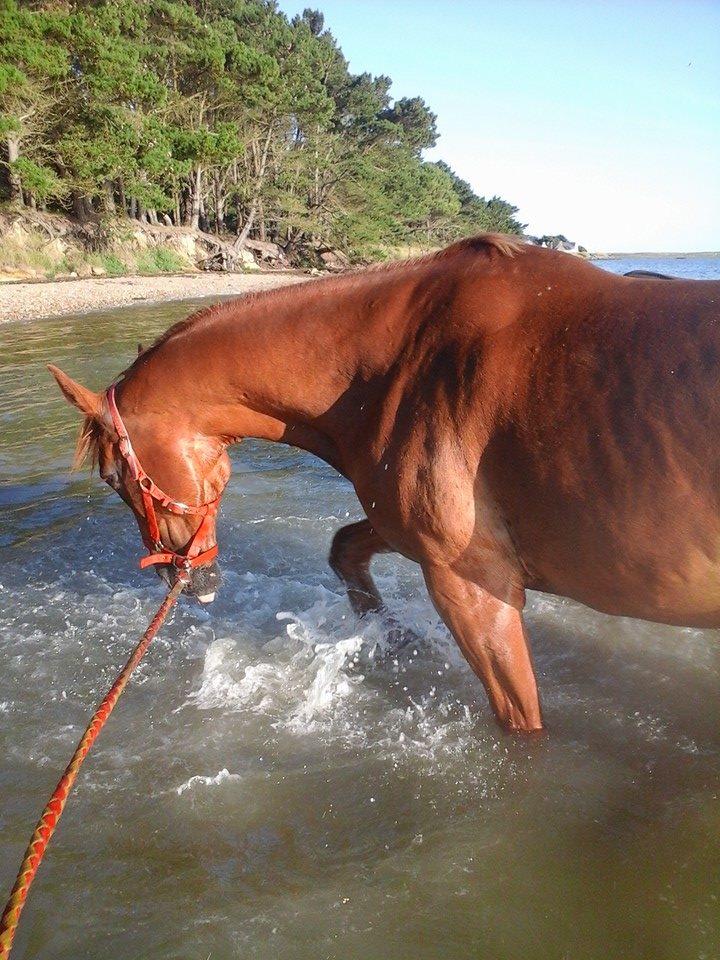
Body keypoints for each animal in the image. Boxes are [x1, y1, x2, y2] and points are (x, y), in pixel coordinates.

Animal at [49, 236, 720, 732]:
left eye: (113, 477)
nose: (187, 582)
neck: (401, 360)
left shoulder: (471, 581)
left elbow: (520, 719)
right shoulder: (410, 534)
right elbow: (344, 548)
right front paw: (394, 641)